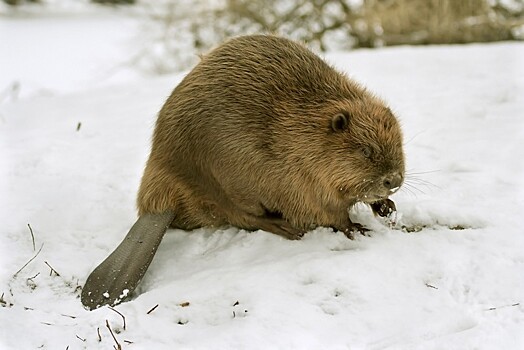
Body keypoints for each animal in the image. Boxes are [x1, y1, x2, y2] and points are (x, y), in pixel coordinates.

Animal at [81, 34, 406, 308]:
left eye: (398, 142)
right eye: (366, 151)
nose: (394, 180)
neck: (306, 129)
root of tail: (156, 207)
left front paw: (387, 207)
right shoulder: (298, 176)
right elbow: (328, 212)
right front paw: (358, 228)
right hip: (227, 183)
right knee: (244, 217)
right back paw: (286, 228)